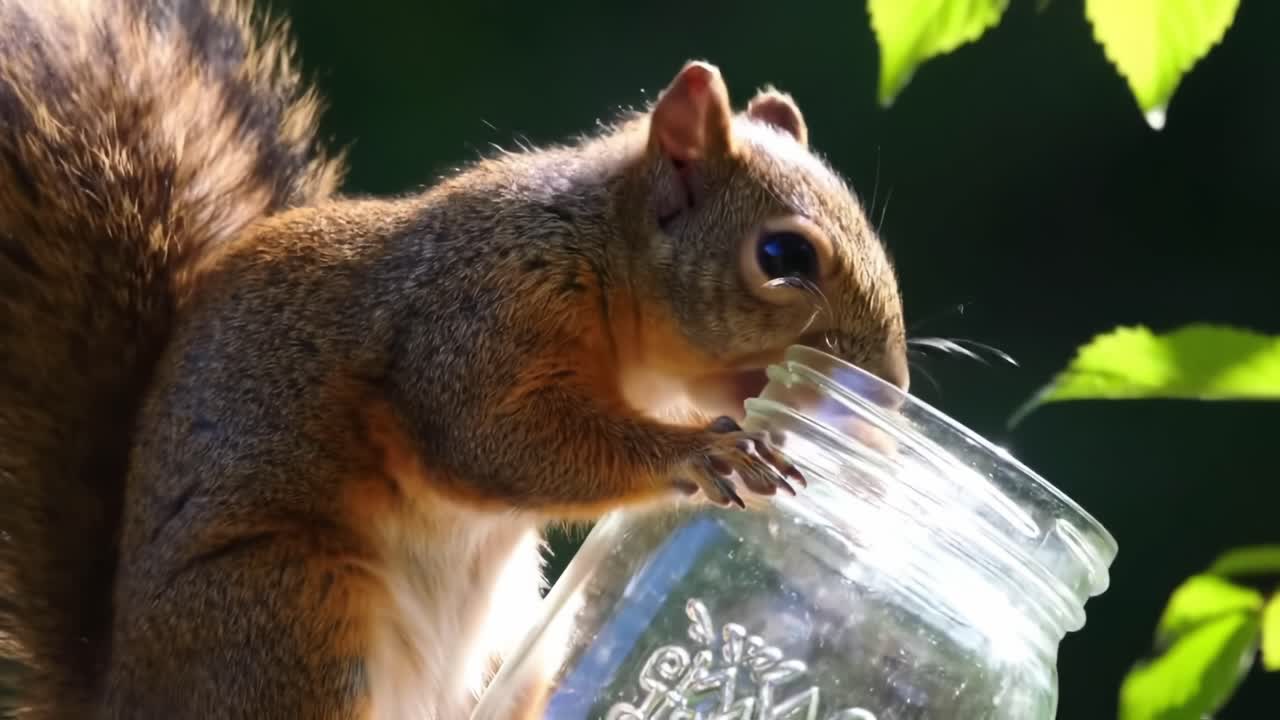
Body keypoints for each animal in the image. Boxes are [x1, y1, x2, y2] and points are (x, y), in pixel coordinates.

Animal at [0, 0, 908, 718]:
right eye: (783, 255)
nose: (890, 398)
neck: (599, 259)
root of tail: (121, 694)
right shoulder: (476, 316)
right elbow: (491, 439)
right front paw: (703, 452)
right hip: (286, 614)